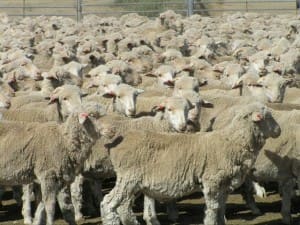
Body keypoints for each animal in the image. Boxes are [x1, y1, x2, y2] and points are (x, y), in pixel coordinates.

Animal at [101, 102, 282, 225]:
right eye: (268, 117)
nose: (279, 130)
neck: (232, 141)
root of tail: (116, 143)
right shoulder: (212, 181)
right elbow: (213, 208)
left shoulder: (224, 184)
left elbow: (221, 207)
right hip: (128, 179)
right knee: (108, 203)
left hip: (133, 183)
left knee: (123, 206)